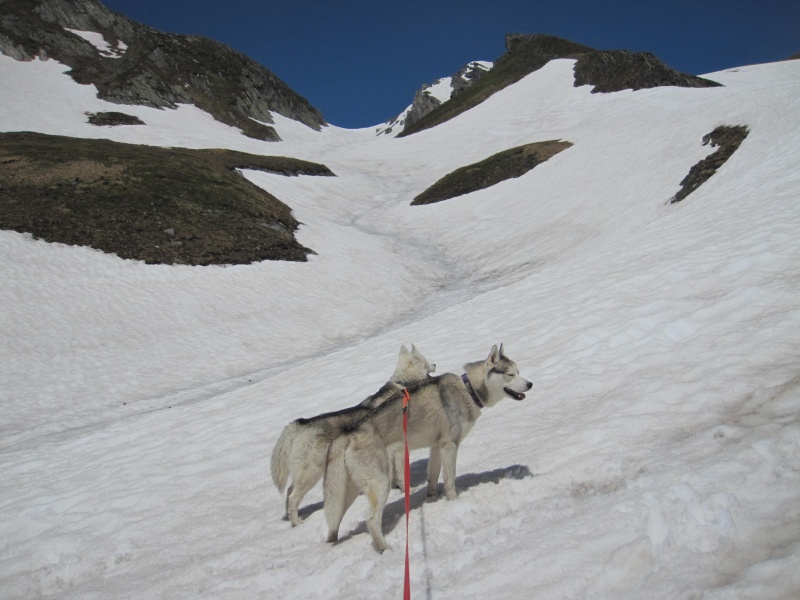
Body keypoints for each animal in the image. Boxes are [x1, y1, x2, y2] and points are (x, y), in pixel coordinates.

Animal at [270, 346, 434, 524]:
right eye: (426, 362)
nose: (435, 364)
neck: (403, 385)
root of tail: (299, 423)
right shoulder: (399, 450)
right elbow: (402, 475)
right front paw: (408, 490)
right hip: (312, 472)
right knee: (293, 497)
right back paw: (297, 523)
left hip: (303, 473)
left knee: (289, 492)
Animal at [322, 344, 536, 552]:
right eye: (510, 374)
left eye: (518, 372)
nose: (530, 384)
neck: (468, 390)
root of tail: (349, 433)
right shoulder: (450, 446)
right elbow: (450, 480)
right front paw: (454, 503)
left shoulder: (436, 447)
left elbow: (433, 475)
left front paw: (433, 497)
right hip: (381, 483)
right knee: (372, 521)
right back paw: (385, 549)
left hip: (346, 493)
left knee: (334, 522)